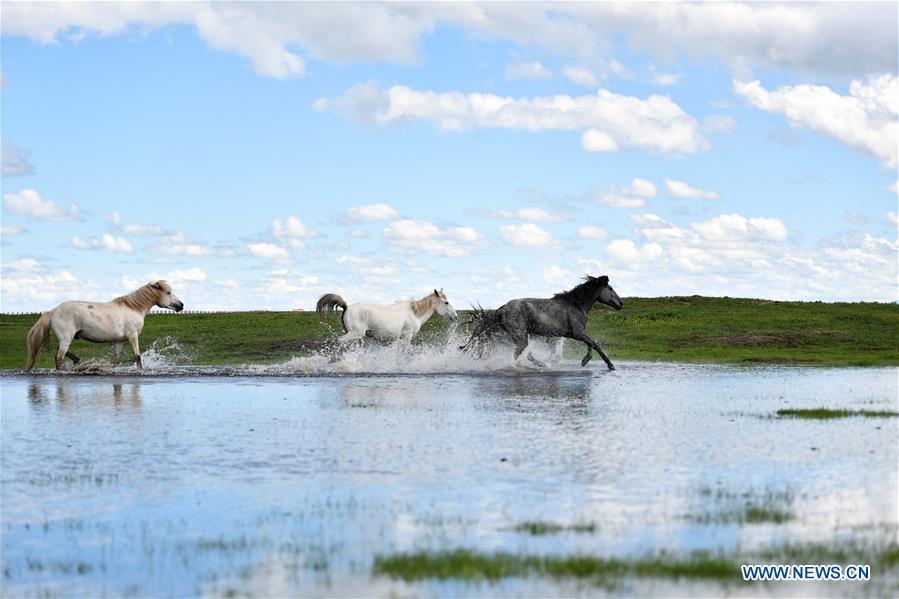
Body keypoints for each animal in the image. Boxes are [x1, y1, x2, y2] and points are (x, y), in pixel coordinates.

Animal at [24, 280, 184, 370]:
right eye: (168, 292)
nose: (181, 305)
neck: (133, 308)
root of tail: (53, 311)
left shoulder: (119, 341)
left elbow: (115, 361)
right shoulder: (132, 337)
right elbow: (137, 357)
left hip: (67, 338)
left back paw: (77, 361)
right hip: (66, 338)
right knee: (58, 357)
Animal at [316, 290, 458, 342]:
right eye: (446, 302)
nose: (456, 317)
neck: (414, 313)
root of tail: (347, 307)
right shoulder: (407, 336)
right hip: (354, 334)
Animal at [460, 276, 624, 370]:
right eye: (610, 288)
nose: (620, 304)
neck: (576, 305)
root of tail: (501, 309)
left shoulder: (576, 334)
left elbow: (591, 344)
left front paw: (585, 361)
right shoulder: (577, 333)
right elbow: (595, 344)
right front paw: (610, 365)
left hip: (516, 336)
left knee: (526, 354)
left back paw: (541, 365)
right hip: (520, 336)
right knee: (518, 355)